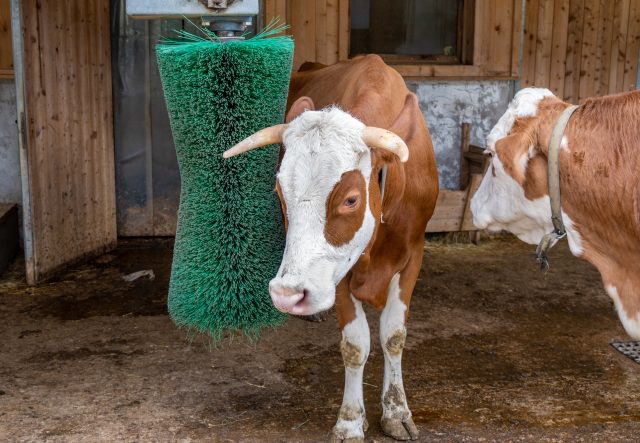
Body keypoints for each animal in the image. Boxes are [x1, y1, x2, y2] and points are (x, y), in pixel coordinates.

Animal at [222, 56, 438, 443]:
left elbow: (393, 335)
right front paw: (350, 421)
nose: (286, 294)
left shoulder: (413, 253)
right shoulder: (337, 272)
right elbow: (355, 345)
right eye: (279, 192)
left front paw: (397, 410)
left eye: (351, 199)